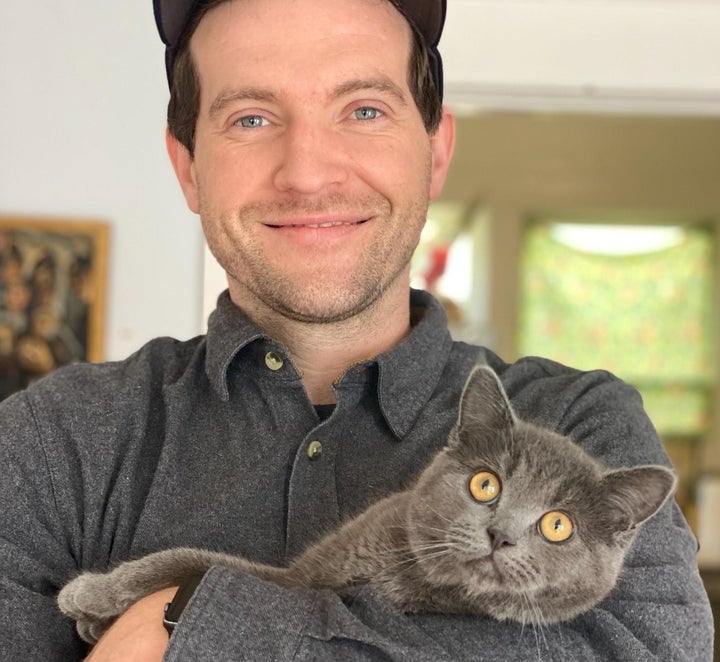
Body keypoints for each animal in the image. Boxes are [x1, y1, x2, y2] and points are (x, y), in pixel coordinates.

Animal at [56, 366, 676, 644]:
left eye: (557, 525)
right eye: (486, 485)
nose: (500, 534)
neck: (400, 575)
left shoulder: (288, 582)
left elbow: (196, 559)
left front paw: (89, 595)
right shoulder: (307, 571)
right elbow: (187, 557)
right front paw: (92, 605)